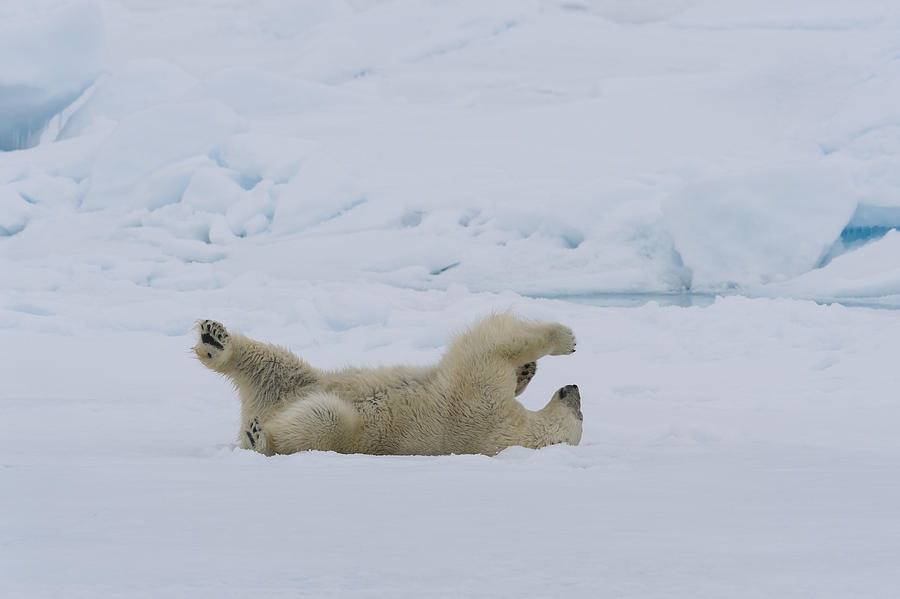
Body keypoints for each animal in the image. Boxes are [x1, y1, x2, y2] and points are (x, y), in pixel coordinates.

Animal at [192, 312, 580, 458]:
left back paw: (261, 438)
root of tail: (258, 409)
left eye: (580, 415)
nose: (575, 390)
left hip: (333, 422)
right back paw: (215, 339)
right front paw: (528, 368)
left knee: (319, 419)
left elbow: (493, 343)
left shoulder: (484, 399)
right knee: (274, 363)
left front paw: (564, 338)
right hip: (306, 379)